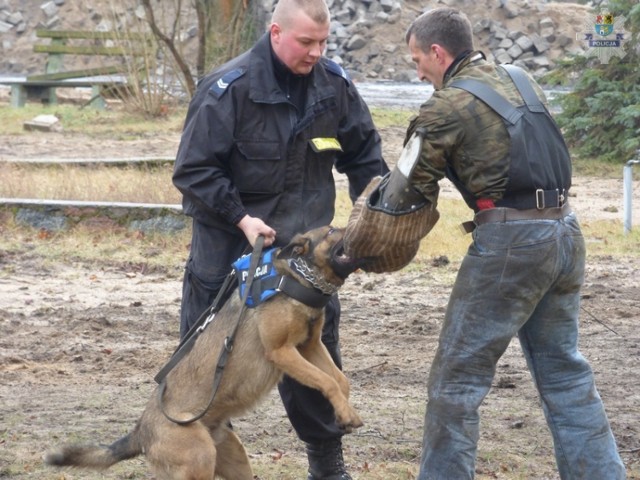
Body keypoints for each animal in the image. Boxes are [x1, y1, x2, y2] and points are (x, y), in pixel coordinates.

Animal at [45, 227, 364, 480]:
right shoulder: (283, 352)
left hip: (234, 459)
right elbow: (327, 381)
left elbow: (340, 380)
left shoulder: (310, 346)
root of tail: (140, 432)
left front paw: (344, 412)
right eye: (332, 231)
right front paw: (346, 412)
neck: (296, 276)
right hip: (200, 459)